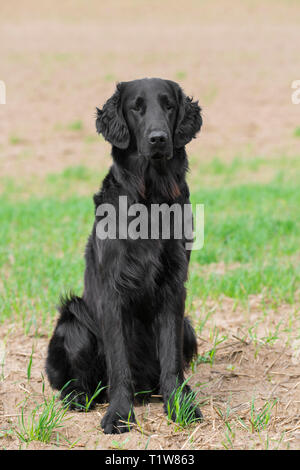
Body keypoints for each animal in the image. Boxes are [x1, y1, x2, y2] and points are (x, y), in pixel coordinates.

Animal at [45, 78, 203, 434]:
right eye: (136, 107)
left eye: (169, 105)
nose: (158, 138)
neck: (151, 199)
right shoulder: (112, 292)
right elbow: (119, 363)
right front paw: (119, 413)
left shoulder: (174, 287)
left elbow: (171, 361)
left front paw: (180, 405)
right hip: (74, 319)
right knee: (76, 381)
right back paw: (78, 397)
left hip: (188, 327)